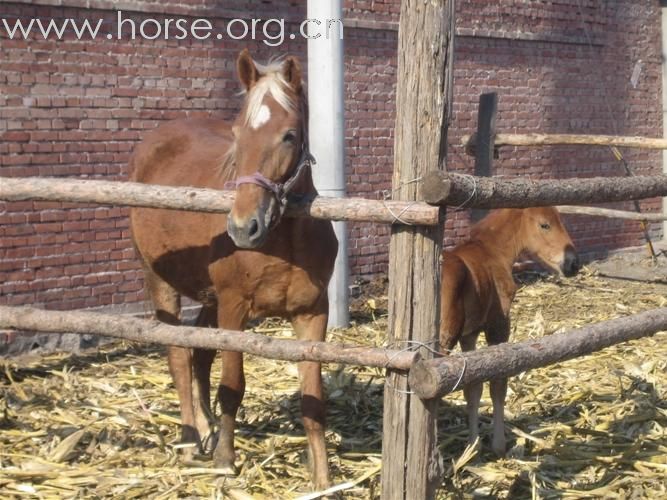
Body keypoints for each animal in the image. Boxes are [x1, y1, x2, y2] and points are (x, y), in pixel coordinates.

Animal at [130, 50, 336, 488]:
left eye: (289, 135)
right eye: (238, 134)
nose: (243, 227)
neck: (282, 241)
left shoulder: (312, 314)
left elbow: (313, 400)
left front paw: (324, 479)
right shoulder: (235, 308)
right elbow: (232, 386)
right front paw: (226, 459)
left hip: (208, 297)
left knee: (199, 355)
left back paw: (205, 428)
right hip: (161, 281)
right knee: (179, 355)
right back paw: (191, 439)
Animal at [440, 205, 576, 456]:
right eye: (544, 224)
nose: (573, 263)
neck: (491, 253)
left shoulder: (469, 335)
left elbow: (473, 389)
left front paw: (473, 446)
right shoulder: (498, 327)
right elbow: (497, 386)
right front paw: (499, 445)